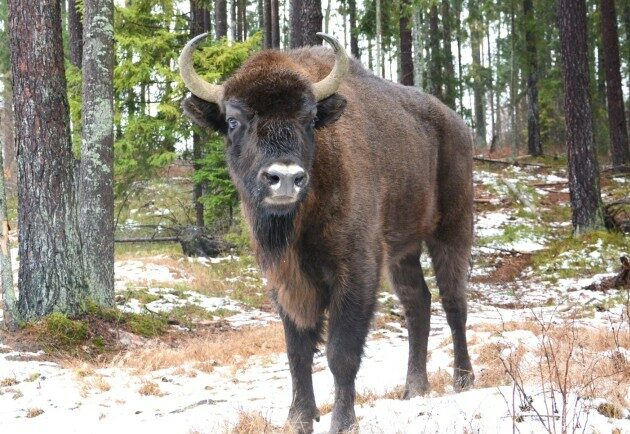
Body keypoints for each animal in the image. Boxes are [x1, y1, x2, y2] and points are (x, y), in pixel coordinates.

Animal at [178, 32, 474, 432]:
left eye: (310, 118)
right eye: (234, 121)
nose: (285, 177)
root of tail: (457, 124)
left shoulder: (356, 269)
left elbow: (340, 352)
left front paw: (343, 421)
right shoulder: (284, 279)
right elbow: (297, 351)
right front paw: (300, 417)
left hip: (452, 229)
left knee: (454, 301)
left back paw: (463, 380)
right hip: (403, 251)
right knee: (418, 302)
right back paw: (414, 388)